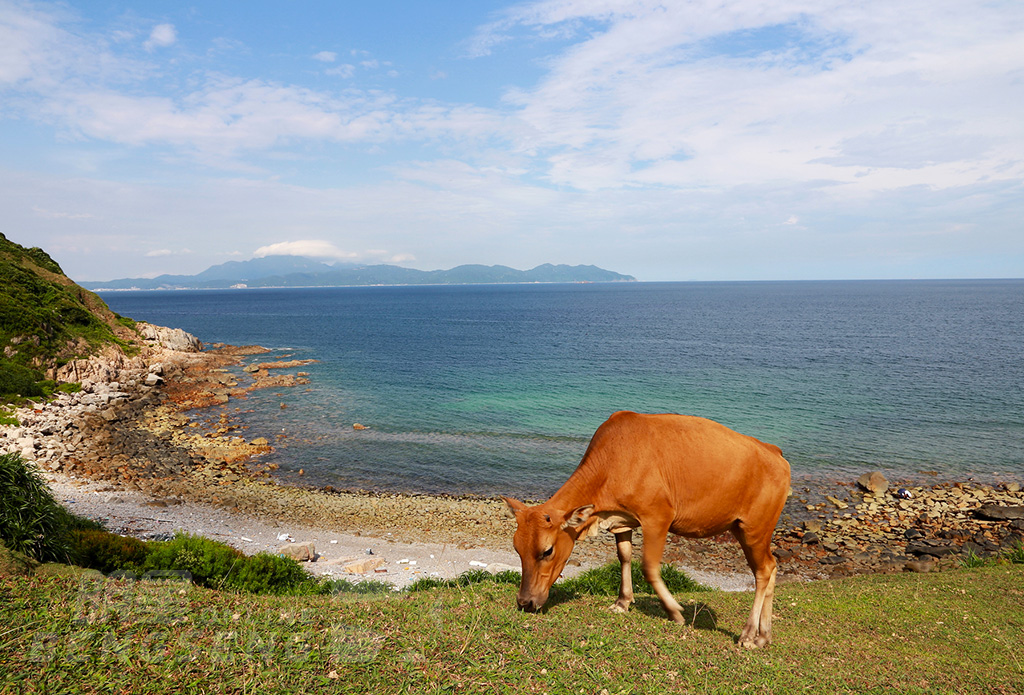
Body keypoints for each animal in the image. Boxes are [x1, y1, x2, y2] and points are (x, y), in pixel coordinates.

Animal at [503, 411, 790, 650]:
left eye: (547, 551)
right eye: (517, 549)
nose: (525, 602)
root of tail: (774, 451)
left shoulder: (658, 517)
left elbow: (649, 566)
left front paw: (674, 611)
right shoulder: (621, 520)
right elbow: (624, 556)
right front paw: (622, 602)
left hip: (755, 527)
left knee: (763, 571)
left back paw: (749, 634)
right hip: (742, 527)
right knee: (771, 567)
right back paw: (764, 636)